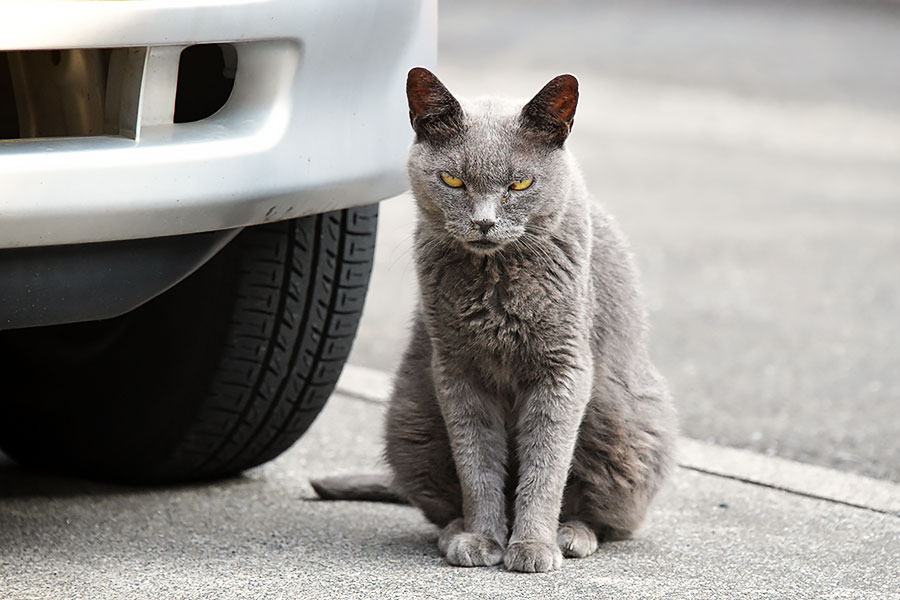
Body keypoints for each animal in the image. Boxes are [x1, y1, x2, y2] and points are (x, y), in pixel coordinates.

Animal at [312, 68, 676, 576]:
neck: (495, 282)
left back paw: (572, 535)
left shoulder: (563, 368)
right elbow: (477, 464)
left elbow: (546, 464)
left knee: (610, 517)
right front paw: (483, 539)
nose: (483, 222)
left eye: (520, 184)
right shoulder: (456, 370)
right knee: (439, 499)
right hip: (411, 416)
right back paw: (454, 532)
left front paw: (532, 546)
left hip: (623, 418)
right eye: (452, 180)